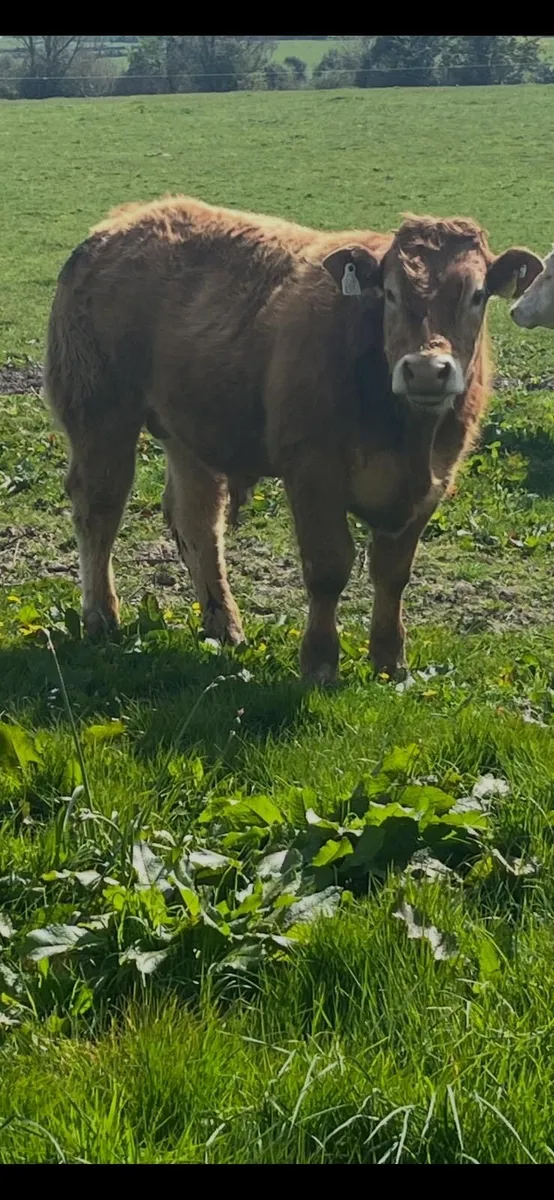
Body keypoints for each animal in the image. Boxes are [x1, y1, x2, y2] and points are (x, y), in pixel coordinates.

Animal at [44, 195, 543, 683]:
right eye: (391, 293)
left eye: (476, 295)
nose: (425, 370)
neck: (405, 431)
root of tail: (120, 224)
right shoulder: (313, 473)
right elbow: (328, 568)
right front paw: (320, 662)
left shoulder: (432, 483)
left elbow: (392, 573)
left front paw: (389, 662)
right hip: (100, 413)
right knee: (99, 510)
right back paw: (102, 618)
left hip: (188, 435)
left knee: (198, 522)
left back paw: (225, 627)